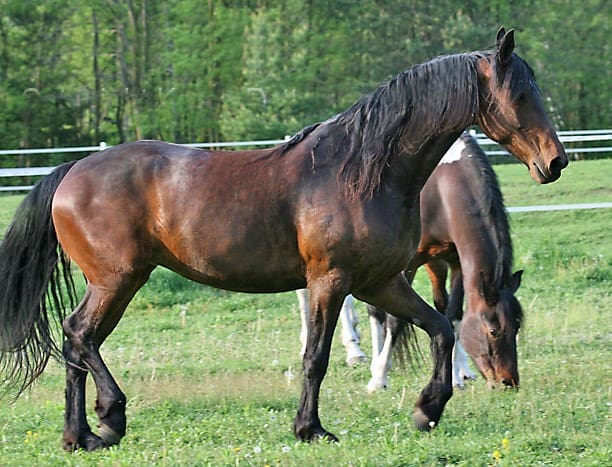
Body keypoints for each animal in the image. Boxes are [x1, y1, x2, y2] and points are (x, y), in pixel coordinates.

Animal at [0, 28, 568, 450]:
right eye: (520, 94)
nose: (555, 161)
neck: (364, 171)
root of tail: (71, 171)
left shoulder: (381, 282)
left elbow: (441, 328)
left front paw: (426, 410)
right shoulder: (331, 282)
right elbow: (316, 357)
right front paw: (311, 429)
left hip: (116, 282)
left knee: (77, 340)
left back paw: (80, 436)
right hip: (118, 279)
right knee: (79, 337)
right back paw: (109, 418)